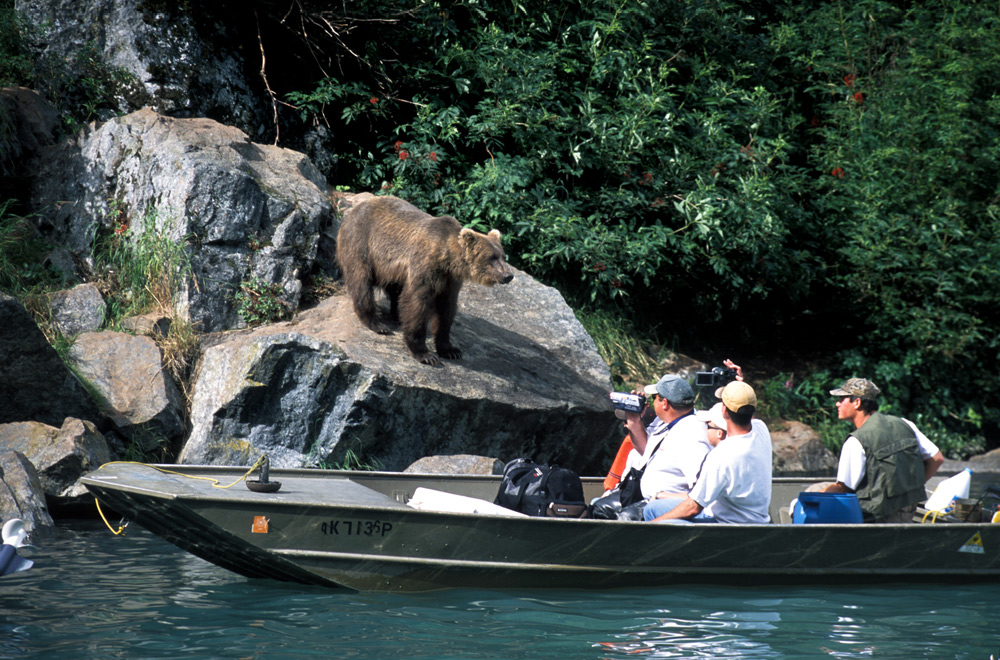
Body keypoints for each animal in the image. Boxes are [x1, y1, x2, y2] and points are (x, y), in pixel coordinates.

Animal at [338, 193, 516, 366]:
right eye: (492, 258)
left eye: (503, 256)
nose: (508, 275)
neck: (448, 258)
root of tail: (353, 210)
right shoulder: (425, 266)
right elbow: (417, 302)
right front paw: (425, 354)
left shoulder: (450, 280)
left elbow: (446, 309)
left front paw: (451, 350)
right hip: (362, 242)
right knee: (361, 280)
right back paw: (376, 324)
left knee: (396, 291)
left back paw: (397, 316)